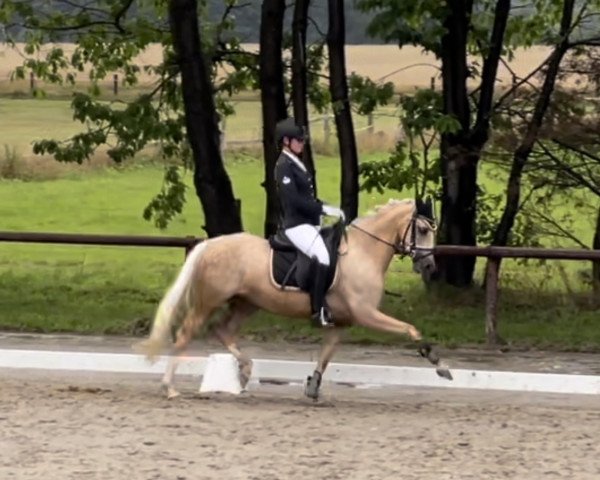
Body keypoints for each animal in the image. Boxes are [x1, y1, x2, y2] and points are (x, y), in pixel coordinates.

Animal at [135, 197, 450, 400]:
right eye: (422, 230)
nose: (429, 267)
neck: (364, 252)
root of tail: (211, 244)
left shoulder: (342, 322)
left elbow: (326, 354)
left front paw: (312, 388)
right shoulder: (366, 314)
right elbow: (410, 329)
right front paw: (440, 364)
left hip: (247, 303)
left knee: (222, 330)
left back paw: (245, 372)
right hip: (209, 300)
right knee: (186, 335)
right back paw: (169, 387)